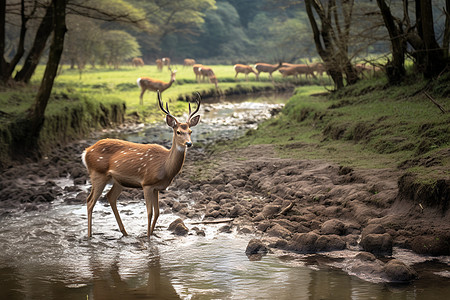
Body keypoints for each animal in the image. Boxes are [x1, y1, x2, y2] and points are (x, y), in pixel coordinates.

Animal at [81, 90, 201, 238]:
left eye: (190, 131)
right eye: (178, 131)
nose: (189, 143)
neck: (165, 167)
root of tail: (86, 152)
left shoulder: (156, 187)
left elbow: (157, 213)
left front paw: (153, 235)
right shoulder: (147, 183)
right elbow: (149, 213)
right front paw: (148, 237)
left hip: (118, 180)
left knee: (110, 197)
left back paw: (125, 232)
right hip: (98, 173)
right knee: (90, 201)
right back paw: (89, 235)